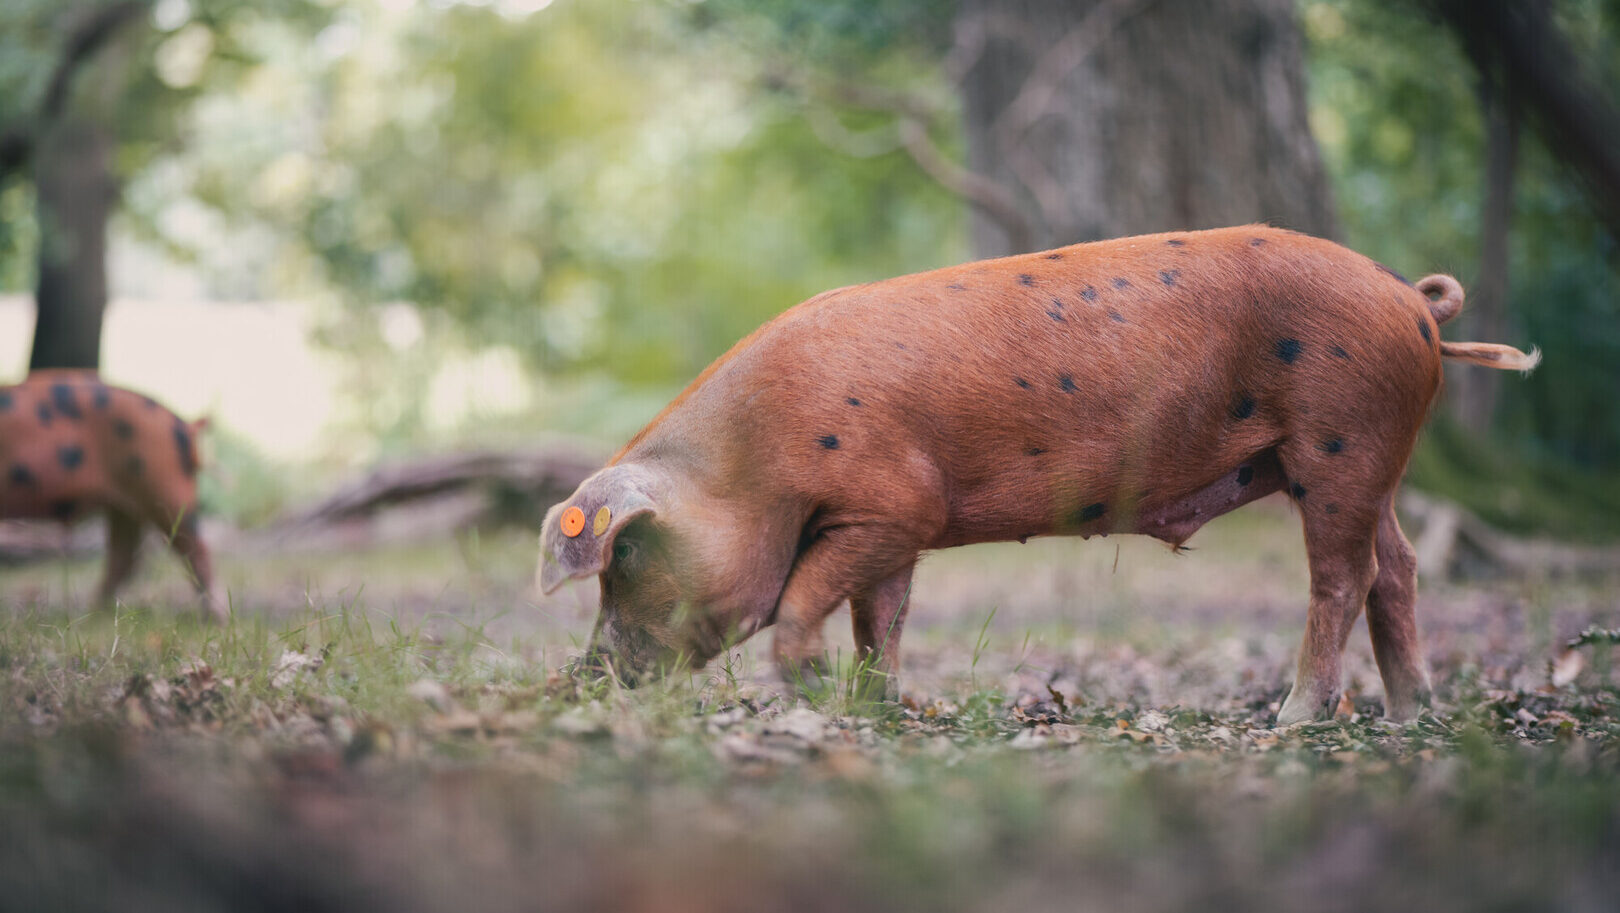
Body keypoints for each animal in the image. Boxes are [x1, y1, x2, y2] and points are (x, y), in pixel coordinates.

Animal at [0, 369, 223, 620]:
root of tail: (184, 425)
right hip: (124, 506)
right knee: (124, 556)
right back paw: (94, 612)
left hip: (166, 489)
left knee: (197, 550)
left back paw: (215, 618)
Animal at [536, 226, 1539, 725]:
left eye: (627, 559)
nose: (586, 673)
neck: (755, 464)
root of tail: (1411, 298)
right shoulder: (898, 530)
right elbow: (881, 618)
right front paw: (883, 705)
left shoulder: (889, 507)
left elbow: (801, 601)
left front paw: (814, 693)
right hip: (1364, 462)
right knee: (1398, 567)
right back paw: (1409, 714)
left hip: (1342, 440)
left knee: (1342, 576)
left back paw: (1295, 718)